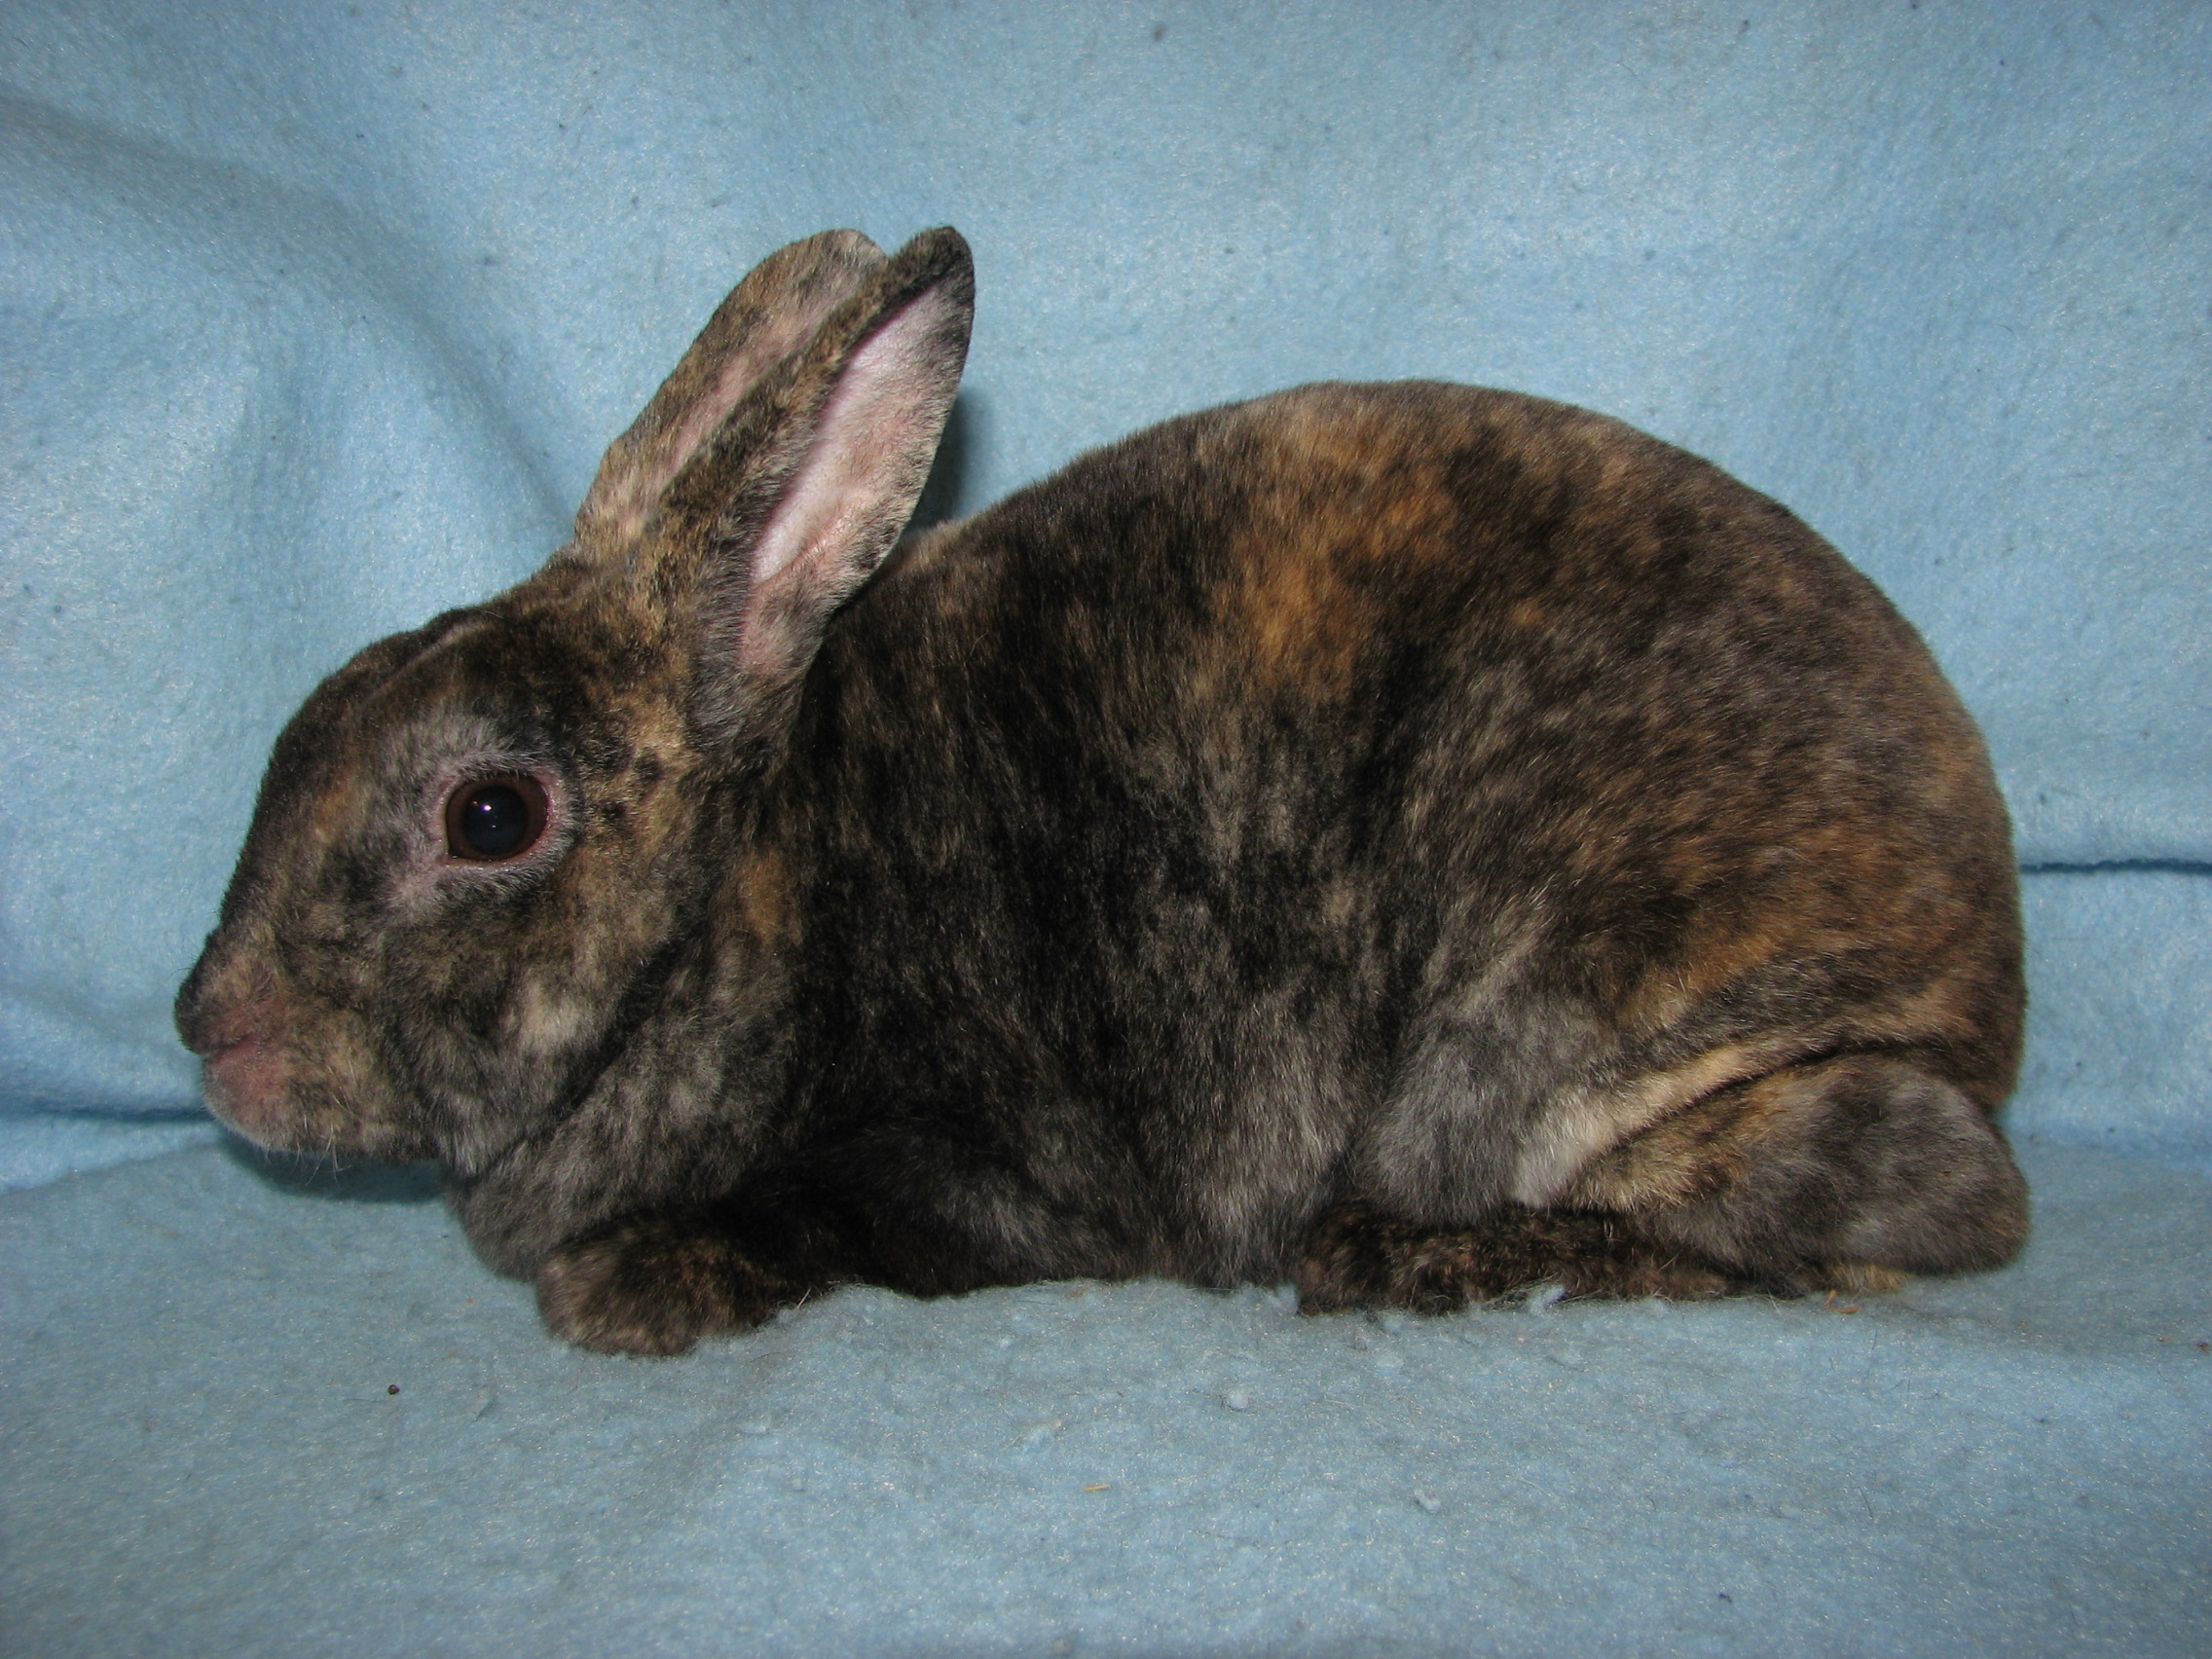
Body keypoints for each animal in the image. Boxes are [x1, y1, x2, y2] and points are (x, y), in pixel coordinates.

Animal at [175, 226, 2029, 1356]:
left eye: (491, 816)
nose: (210, 1030)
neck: (741, 900)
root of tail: (1985, 989)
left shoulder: (949, 1170)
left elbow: (805, 1222)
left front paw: (625, 1287)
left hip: (1561, 1041)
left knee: (1905, 1205)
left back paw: (1402, 1256)